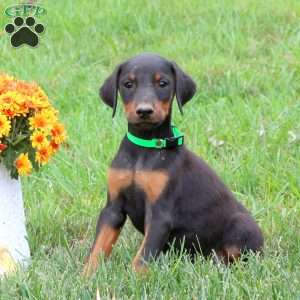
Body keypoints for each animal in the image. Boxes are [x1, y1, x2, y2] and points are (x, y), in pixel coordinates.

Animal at [83, 53, 264, 274]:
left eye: (163, 83)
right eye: (128, 84)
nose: (144, 111)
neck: (144, 148)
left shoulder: (160, 215)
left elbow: (142, 258)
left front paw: (132, 279)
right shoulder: (113, 208)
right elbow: (98, 247)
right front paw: (86, 277)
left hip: (242, 224)